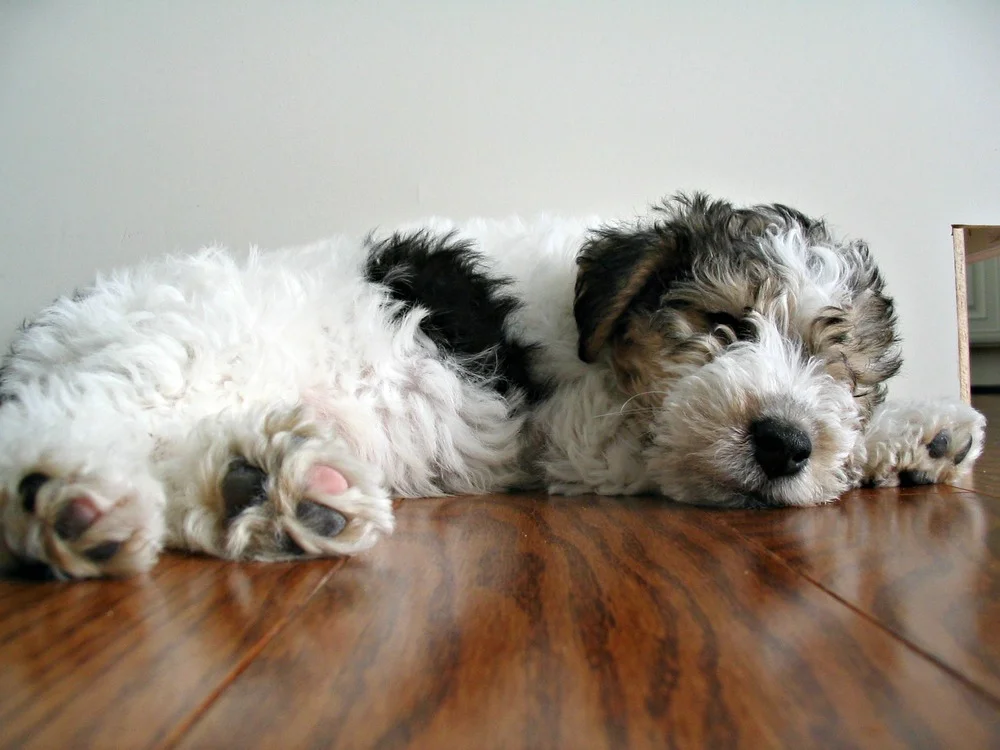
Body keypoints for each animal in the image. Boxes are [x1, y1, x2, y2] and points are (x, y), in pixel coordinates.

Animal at [0, 194, 984, 580]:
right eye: (723, 324)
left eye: (841, 364)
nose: (782, 442)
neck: (600, 344)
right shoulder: (588, 436)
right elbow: (674, 450)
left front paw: (922, 434)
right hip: (163, 361)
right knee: (55, 431)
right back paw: (70, 501)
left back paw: (270, 495)